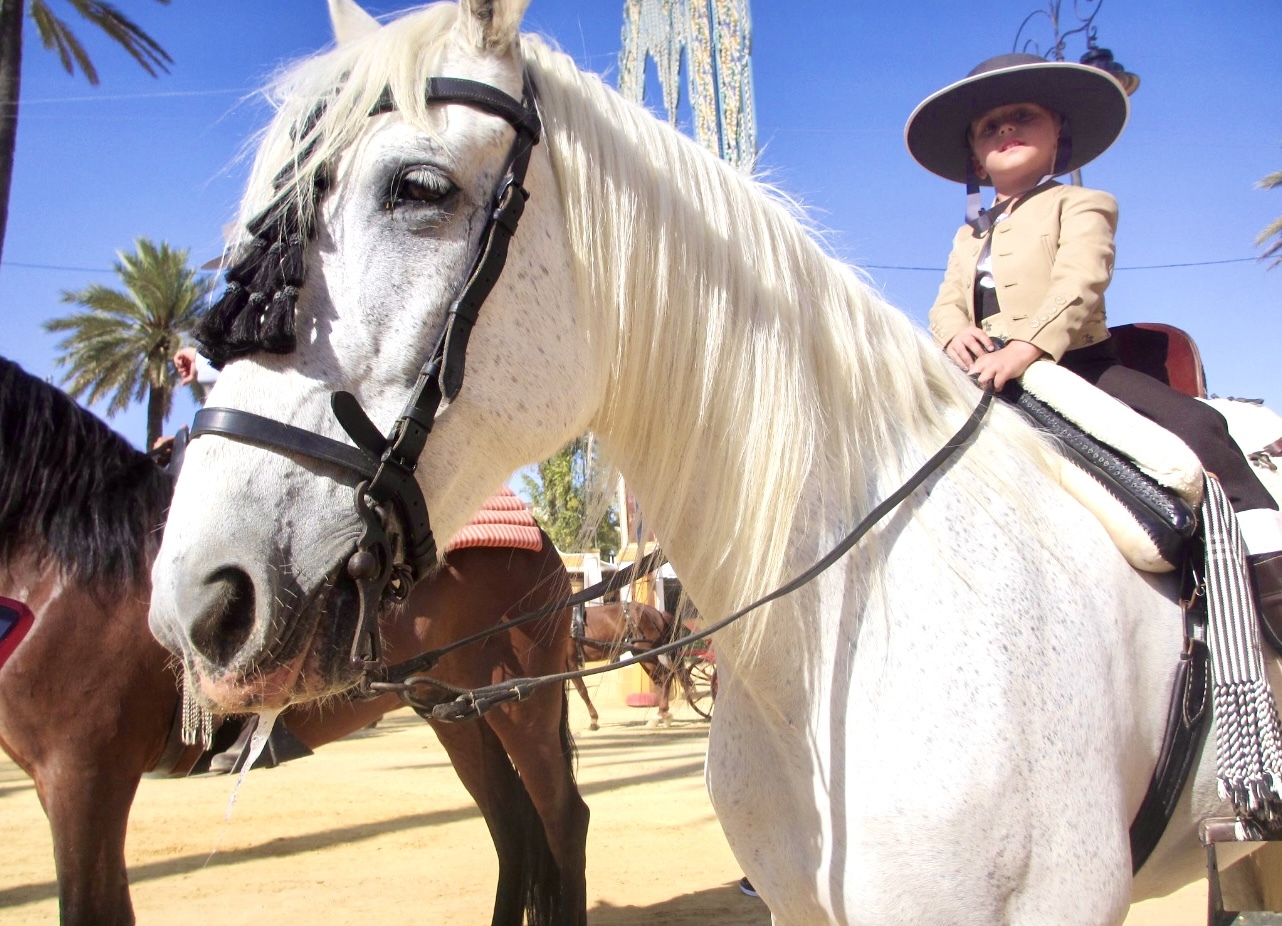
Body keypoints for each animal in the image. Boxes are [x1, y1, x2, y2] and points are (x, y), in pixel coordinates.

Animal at [0, 354, 588, 926]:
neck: (68, 565)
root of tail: (541, 539)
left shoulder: (84, 776)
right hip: (455, 709)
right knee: (513, 828)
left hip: (522, 700)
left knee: (563, 818)